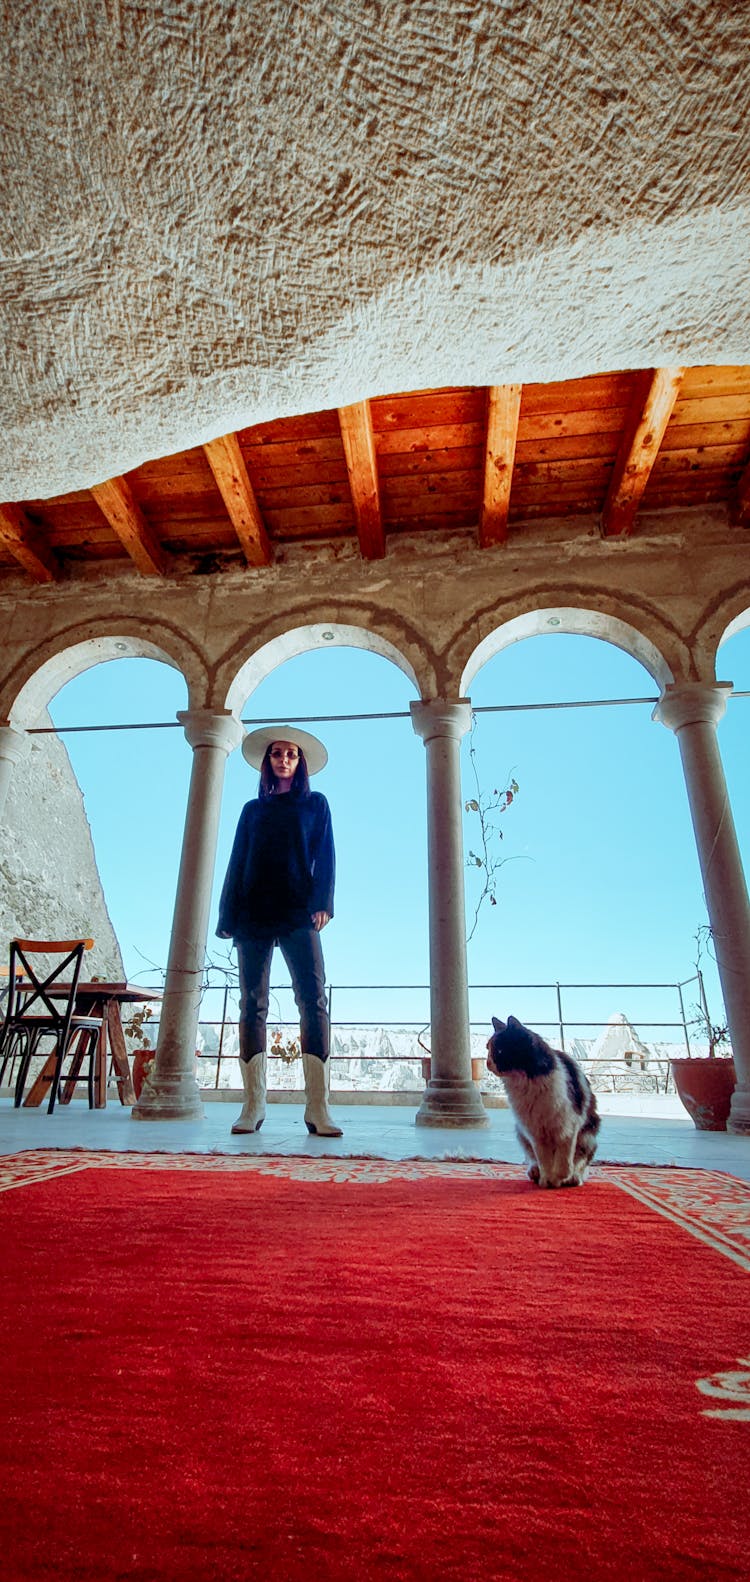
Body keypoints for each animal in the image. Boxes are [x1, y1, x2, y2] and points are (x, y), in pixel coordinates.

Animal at [487, 1012, 604, 1189]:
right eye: (488, 1049)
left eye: (500, 1051)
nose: (487, 1063)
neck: (526, 1083)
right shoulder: (535, 1132)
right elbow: (544, 1160)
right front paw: (547, 1181)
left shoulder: (567, 1126)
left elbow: (564, 1160)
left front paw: (559, 1178)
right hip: (522, 1134)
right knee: (533, 1159)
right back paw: (536, 1173)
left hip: (587, 1137)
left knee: (581, 1163)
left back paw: (573, 1178)